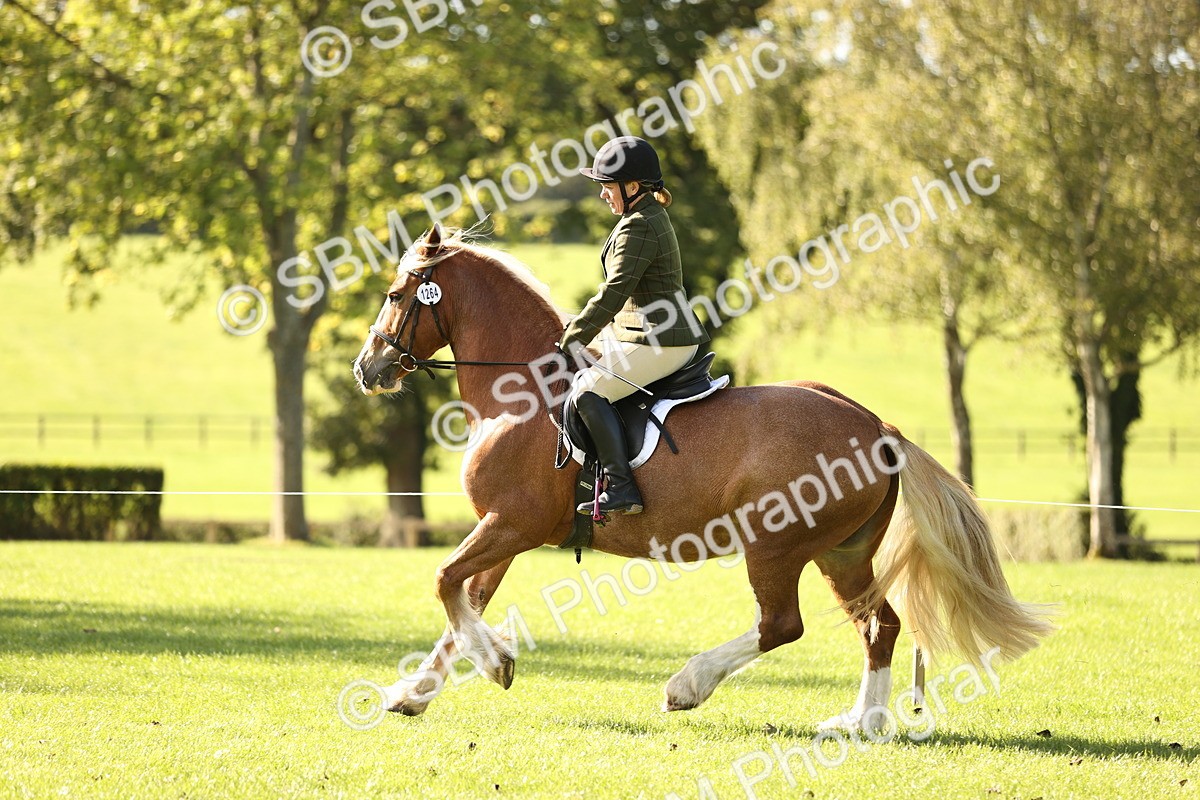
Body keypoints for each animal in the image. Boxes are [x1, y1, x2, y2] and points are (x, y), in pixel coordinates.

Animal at [352, 223, 1052, 728]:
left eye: (395, 296)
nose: (367, 368)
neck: (519, 393)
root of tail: (878, 426)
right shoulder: (508, 530)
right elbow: (462, 603)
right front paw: (413, 694)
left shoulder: (511, 523)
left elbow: (446, 583)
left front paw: (495, 662)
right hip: (842, 552)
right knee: (878, 624)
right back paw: (861, 723)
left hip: (777, 546)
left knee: (783, 625)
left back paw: (687, 686)